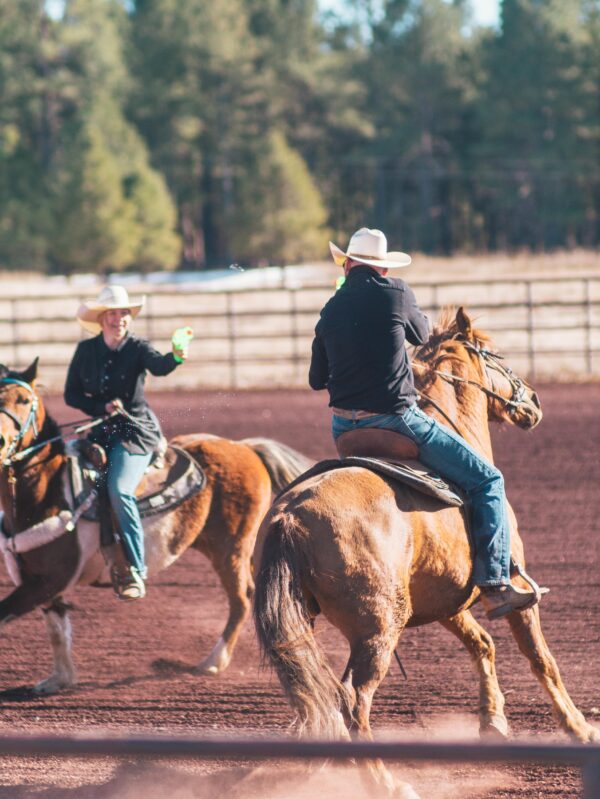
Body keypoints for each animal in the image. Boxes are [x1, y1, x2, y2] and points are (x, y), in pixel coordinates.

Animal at [0, 360, 310, 692]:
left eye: (23, 400)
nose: (1, 442)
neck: (49, 489)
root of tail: (245, 447)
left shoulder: (48, 579)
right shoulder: (39, 580)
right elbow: (57, 628)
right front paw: (60, 678)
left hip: (231, 548)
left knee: (240, 599)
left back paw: (214, 661)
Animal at [254, 310, 600, 792]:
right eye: (495, 354)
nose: (532, 399)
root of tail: (290, 516)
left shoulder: (448, 599)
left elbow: (482, 644)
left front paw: (492, 722)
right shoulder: (513, 590)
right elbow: (541, 659)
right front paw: (580, 728)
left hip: (306, 627)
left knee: (319, 698)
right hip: (378, 631)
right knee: (353, 700)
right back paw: (385, 784)